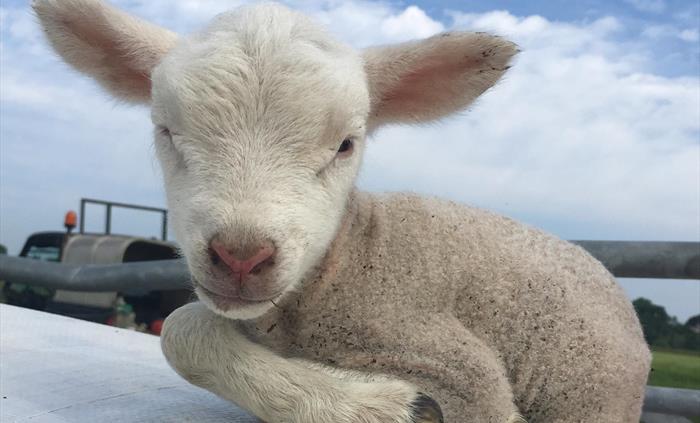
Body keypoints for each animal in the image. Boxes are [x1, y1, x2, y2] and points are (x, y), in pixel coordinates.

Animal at [33, 0, 651, 422]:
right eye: (164, 130)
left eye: (346, 145)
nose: (240, 256)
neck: (350, 257)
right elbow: (181, 330)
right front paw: (372, 402)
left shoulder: (463, 365)